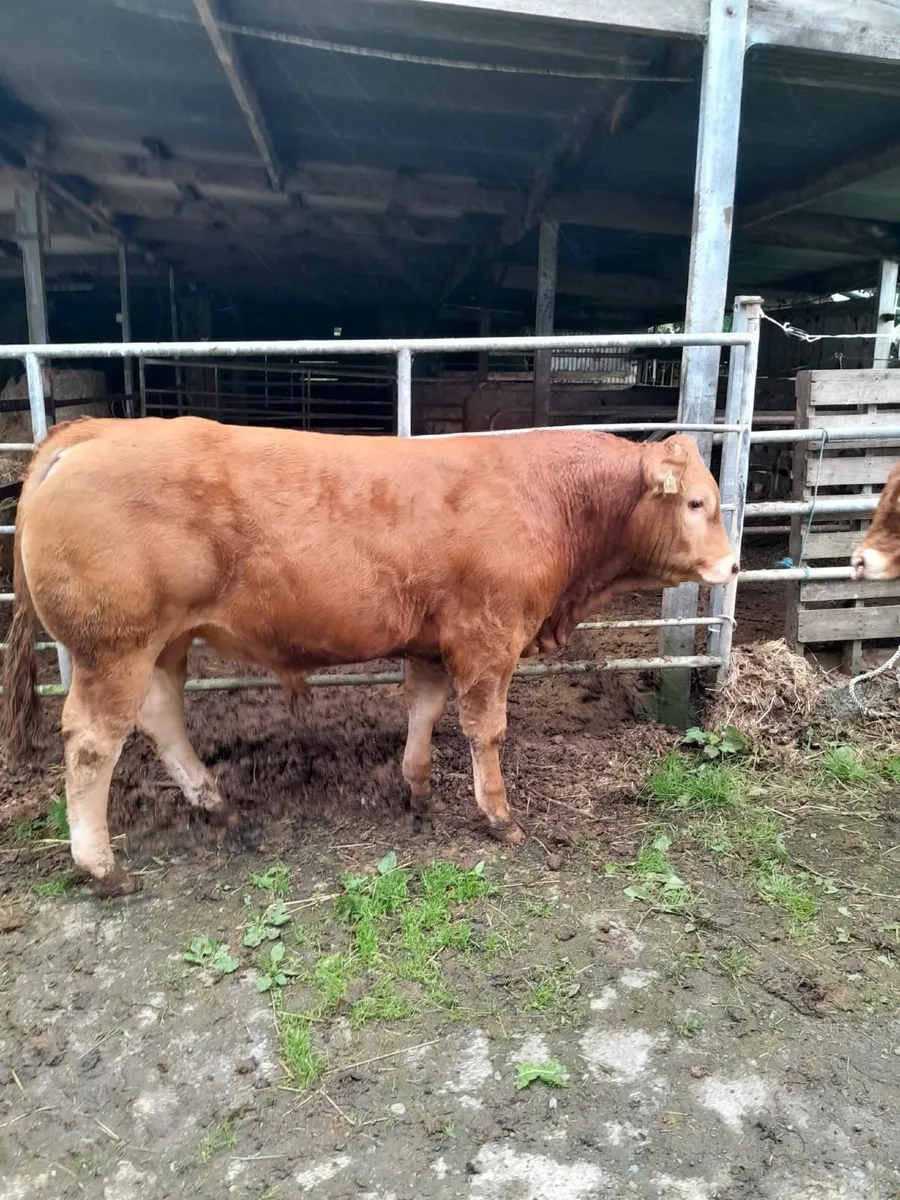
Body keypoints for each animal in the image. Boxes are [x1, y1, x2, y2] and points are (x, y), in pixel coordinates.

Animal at [1, 417, 738, 896]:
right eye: (698, 502)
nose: (731, 565)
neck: (554, 501)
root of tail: (92, 431)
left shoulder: (434, 639)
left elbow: (424, 710)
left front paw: (417, 787)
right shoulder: (489, 637)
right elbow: (485, 729)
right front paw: (498, 815)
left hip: (164, 642)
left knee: (158, 717)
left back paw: (213, 801)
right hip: (115, 644)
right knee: (92, 743)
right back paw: (101, 867)